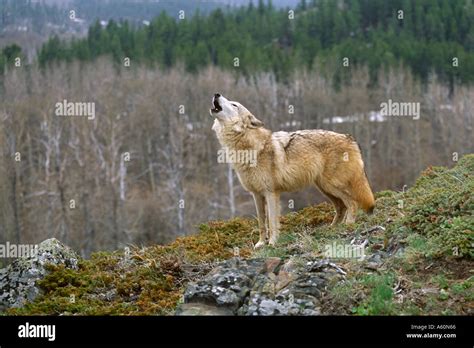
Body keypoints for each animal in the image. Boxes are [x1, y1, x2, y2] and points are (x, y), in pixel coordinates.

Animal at [211, 93, 374, 247]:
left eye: (234, 104)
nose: (216, 94)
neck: (248, 147)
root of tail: (350, 138)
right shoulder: (256, 194)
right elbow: (261, 223)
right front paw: (260, 244)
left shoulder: (271, 193)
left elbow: (272, 222)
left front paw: (272, 243)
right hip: (325, 188)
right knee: (341, 207)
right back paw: (332, 228)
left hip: (331, 186)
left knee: (352, 203)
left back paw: (348, 226)